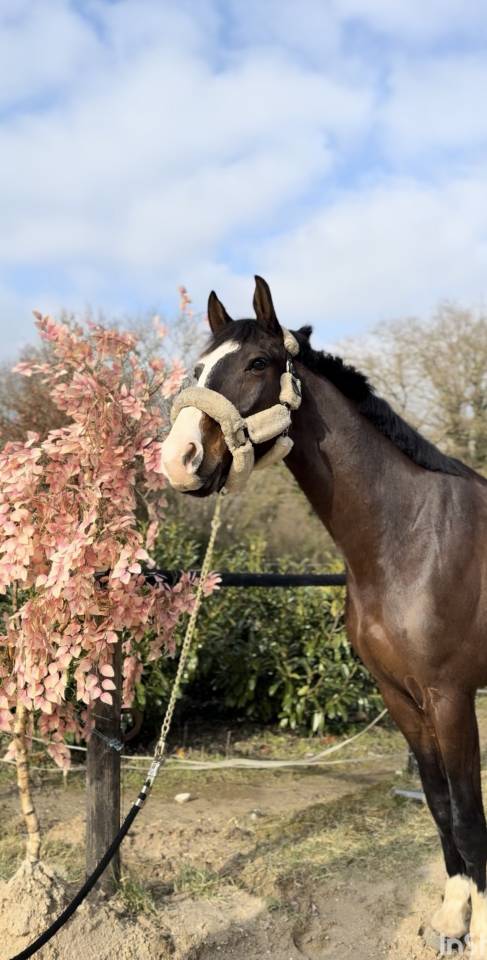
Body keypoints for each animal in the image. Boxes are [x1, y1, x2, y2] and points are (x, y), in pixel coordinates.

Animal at [160, 275, 487, 955]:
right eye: (198, 367)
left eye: (259, 364)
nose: (178, 458)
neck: (410, 536)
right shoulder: (400, 696)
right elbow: (442, 806)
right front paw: (451, 920)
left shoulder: (450, 695)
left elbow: (470, 816)